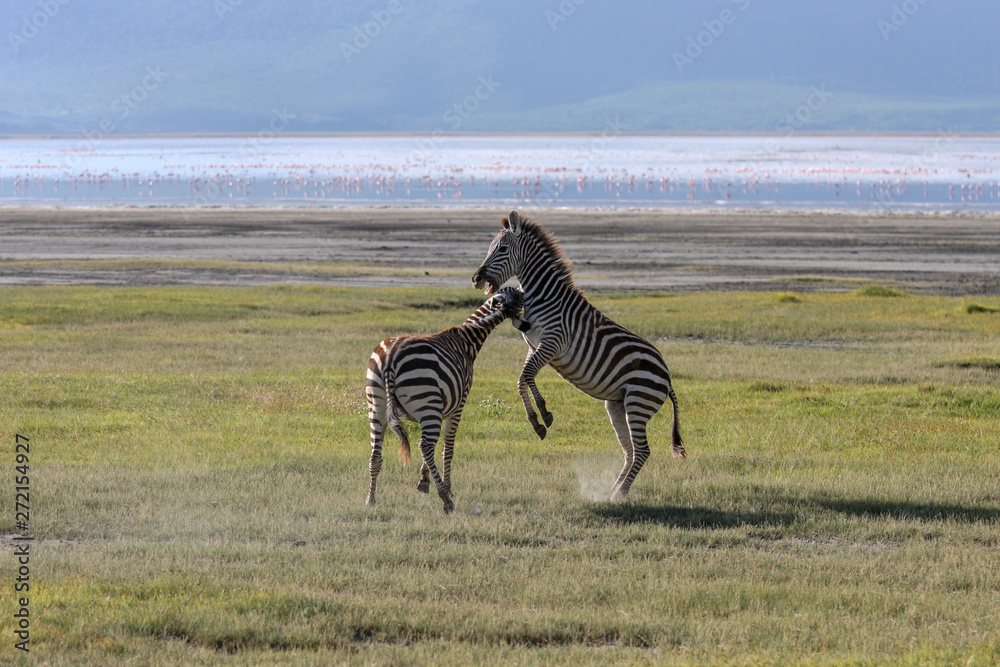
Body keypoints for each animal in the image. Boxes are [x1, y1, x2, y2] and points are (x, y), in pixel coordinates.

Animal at [364, 286, 530, 513]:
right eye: (522, 301)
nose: (528, 326)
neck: (467, 341)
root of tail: (391, 356)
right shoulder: (457, 406)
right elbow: (447, 448)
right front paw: (447, 488)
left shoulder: (440, 409)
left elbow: (436, 449)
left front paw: (424, 480)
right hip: (427, 403)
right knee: (424, 446)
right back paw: (446, 499)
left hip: (378, 405)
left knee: (376, 453)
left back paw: (371, 498)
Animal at [472, 211, 685, 500]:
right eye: (490, 248)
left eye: (502, 249)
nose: (476, 278)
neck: (545, 295)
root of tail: (667, 376)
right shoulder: (534, 345)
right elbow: (522, 379)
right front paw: (540, 417)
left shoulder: (553, 343)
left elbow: (526, 375)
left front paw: (541, 416)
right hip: (618, 405)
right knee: (630, 451)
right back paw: (611, 491)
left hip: (638, 403)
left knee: (642, 451)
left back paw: (619, 495)